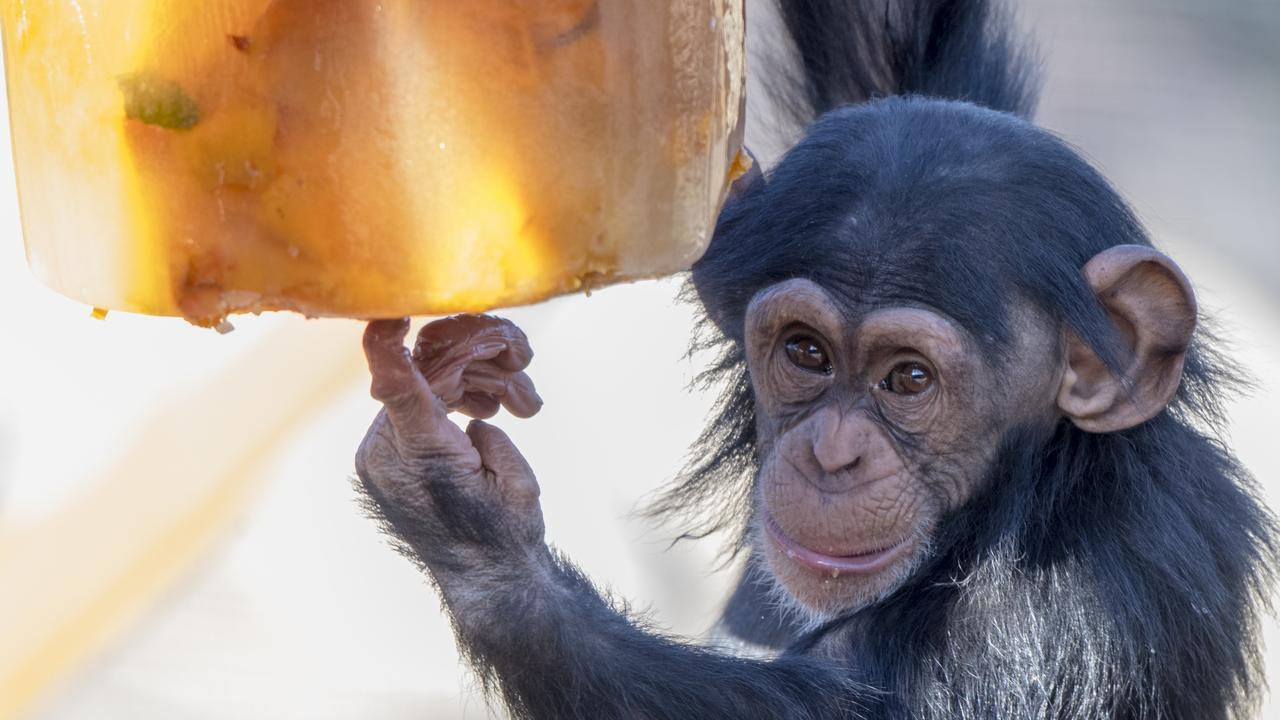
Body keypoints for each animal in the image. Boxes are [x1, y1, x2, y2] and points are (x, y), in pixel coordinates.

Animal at [355, 1, 1274, 717]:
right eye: (806, 352)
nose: (834, 455)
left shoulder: (1064, 614)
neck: (1024, 495)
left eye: (909, 379)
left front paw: (471, 525)